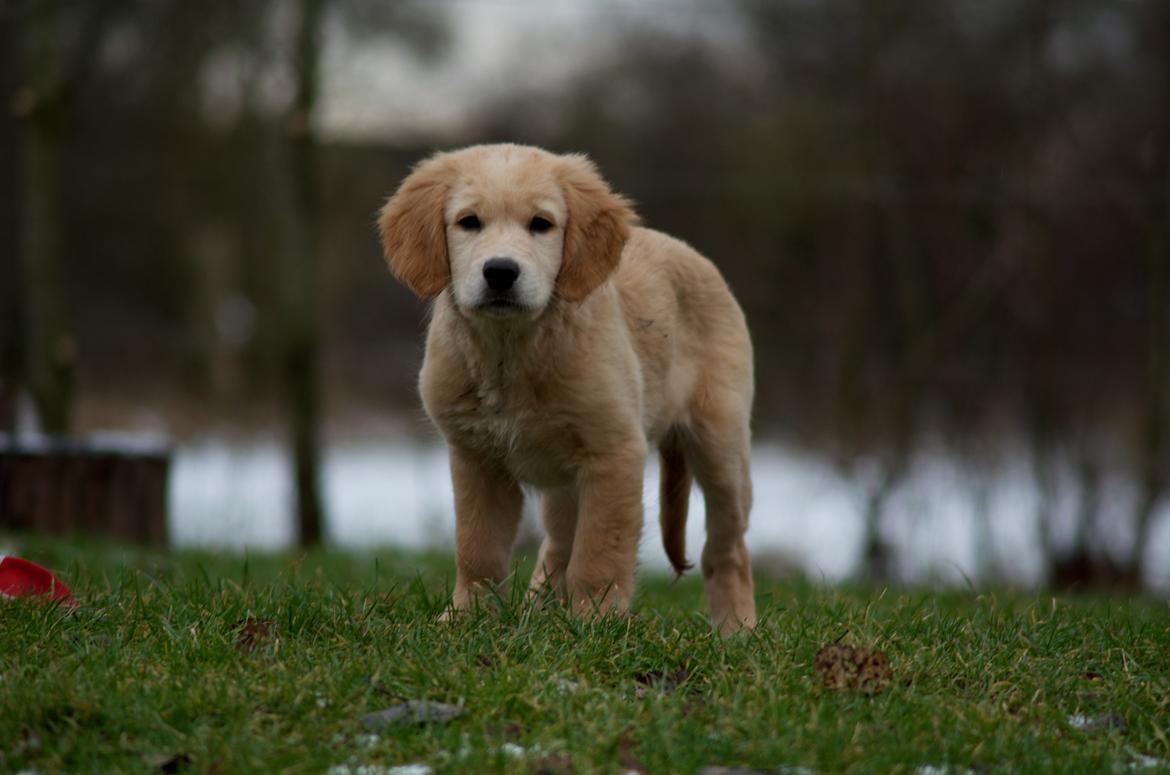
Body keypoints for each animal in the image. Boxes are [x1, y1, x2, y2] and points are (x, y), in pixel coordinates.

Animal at [379, 142, 753, 636]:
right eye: (468, 222)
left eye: (541, 224)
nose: (500, 272)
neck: (510, 351)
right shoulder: (475, 458)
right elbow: (478, 549)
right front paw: (465, 617)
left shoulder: (614, 452)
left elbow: (599, 552)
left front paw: (596, 621)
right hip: (563, 484)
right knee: (557, 545)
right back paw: (539, 610)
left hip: (721, 445)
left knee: (727, 549)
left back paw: (737, 630)